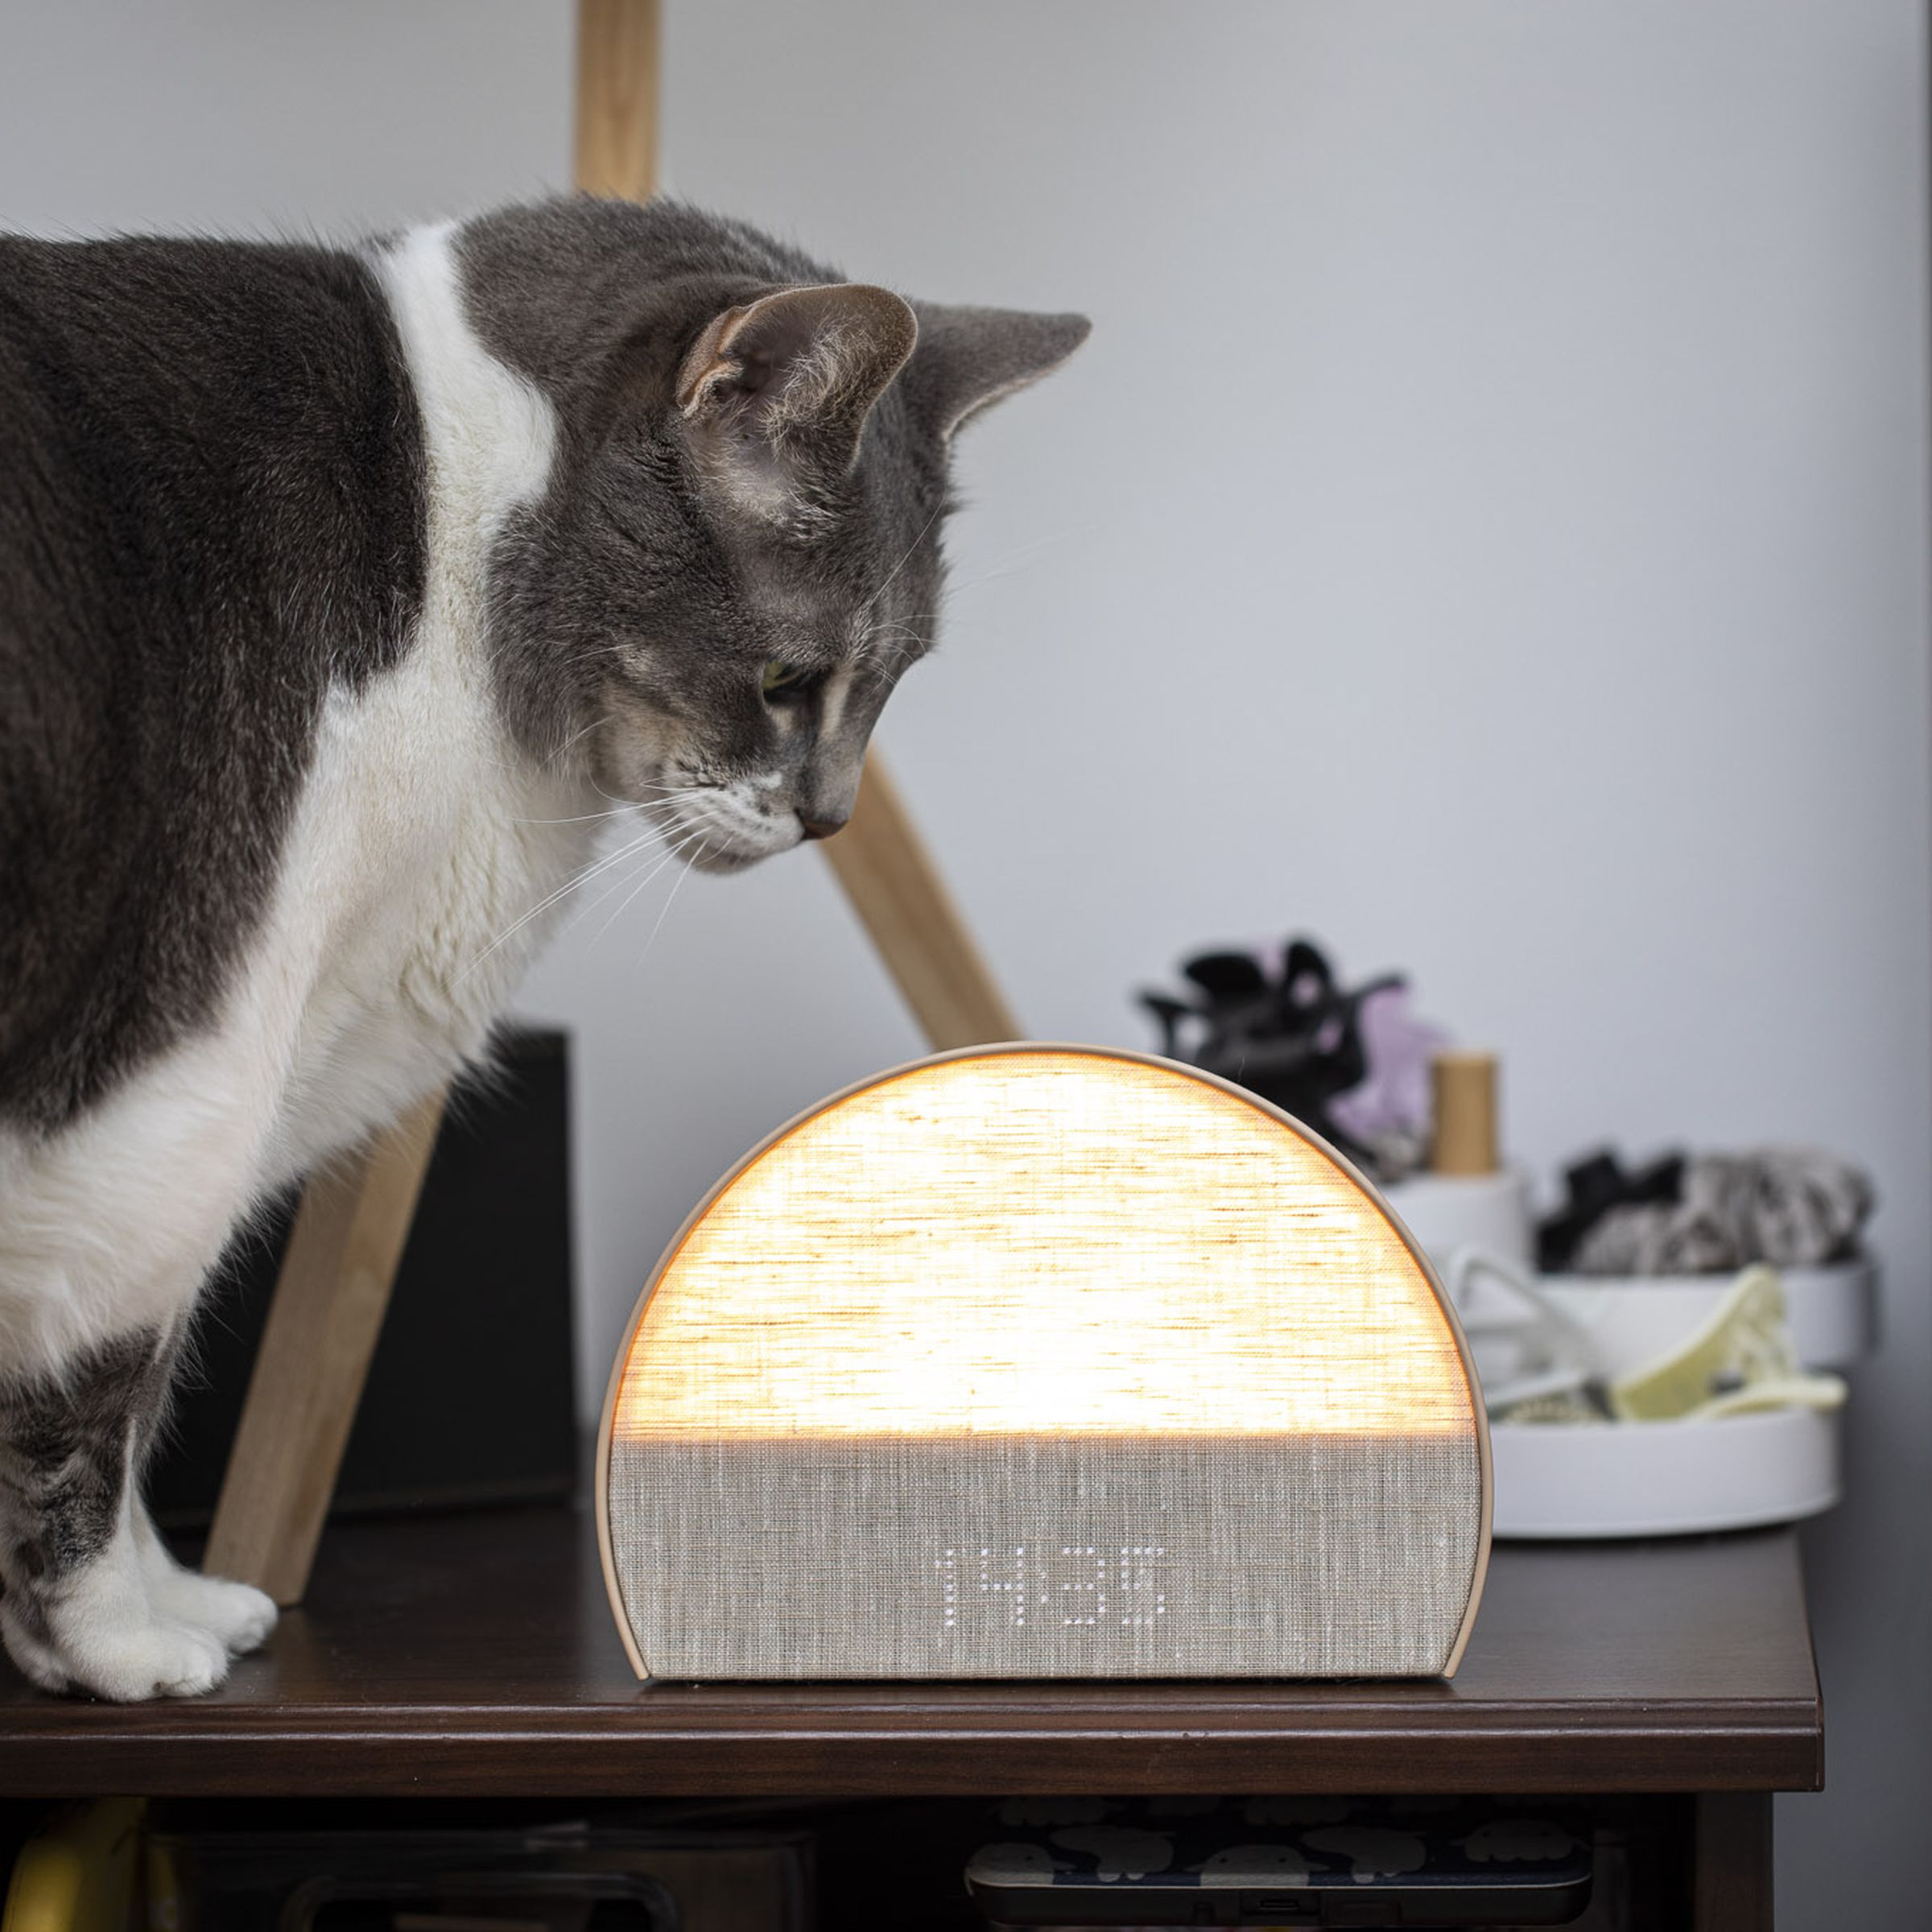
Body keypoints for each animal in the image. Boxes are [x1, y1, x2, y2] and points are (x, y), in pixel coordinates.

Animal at [0, 196, 1089, 1700]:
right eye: (787, 681)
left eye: (894, 685)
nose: (832, 816)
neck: (456, 542)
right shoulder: (173, 1093)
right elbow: (98, 1390)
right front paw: (113, 1643)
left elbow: (135, 1383)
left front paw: (179, 1594)